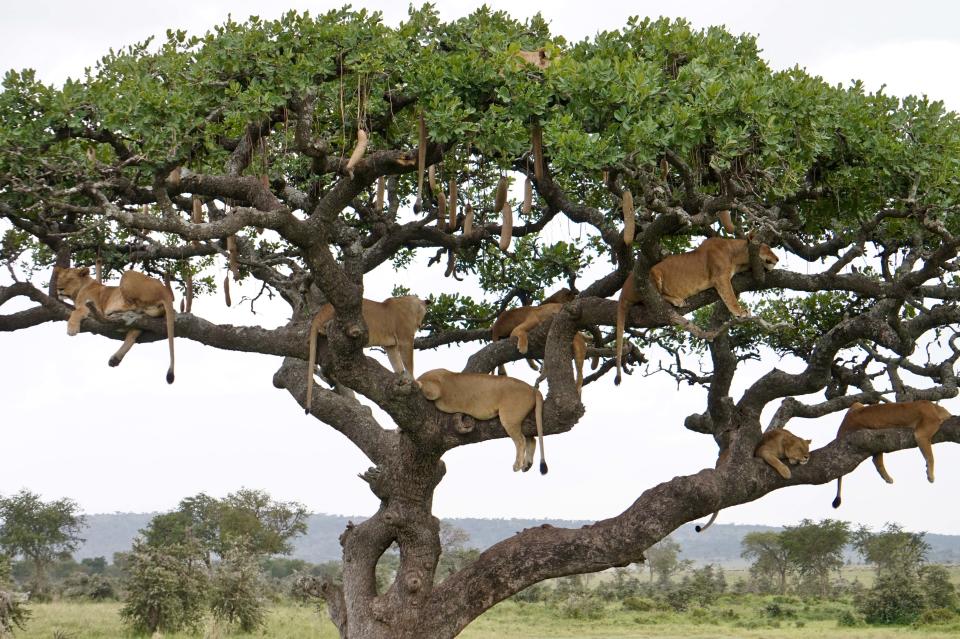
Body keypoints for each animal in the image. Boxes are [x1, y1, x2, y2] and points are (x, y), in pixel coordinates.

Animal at [414, 370, 548, 476]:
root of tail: (533, 389)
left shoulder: (435, 388)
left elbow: (425, 388)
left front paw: (417, 384)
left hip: (510, 418)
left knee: (521, 440)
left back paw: (518, 465)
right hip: (523, 420)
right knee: (532, 439)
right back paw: (527, 465)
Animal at [616, 236, 780, 382]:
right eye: (768, 247)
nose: (778, 259)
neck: (737, 256)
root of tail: (623, 290)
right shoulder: (720, 278)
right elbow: (730, 297)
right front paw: (740, 312)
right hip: (652, 274)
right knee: (653, 298)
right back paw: (677, 300)